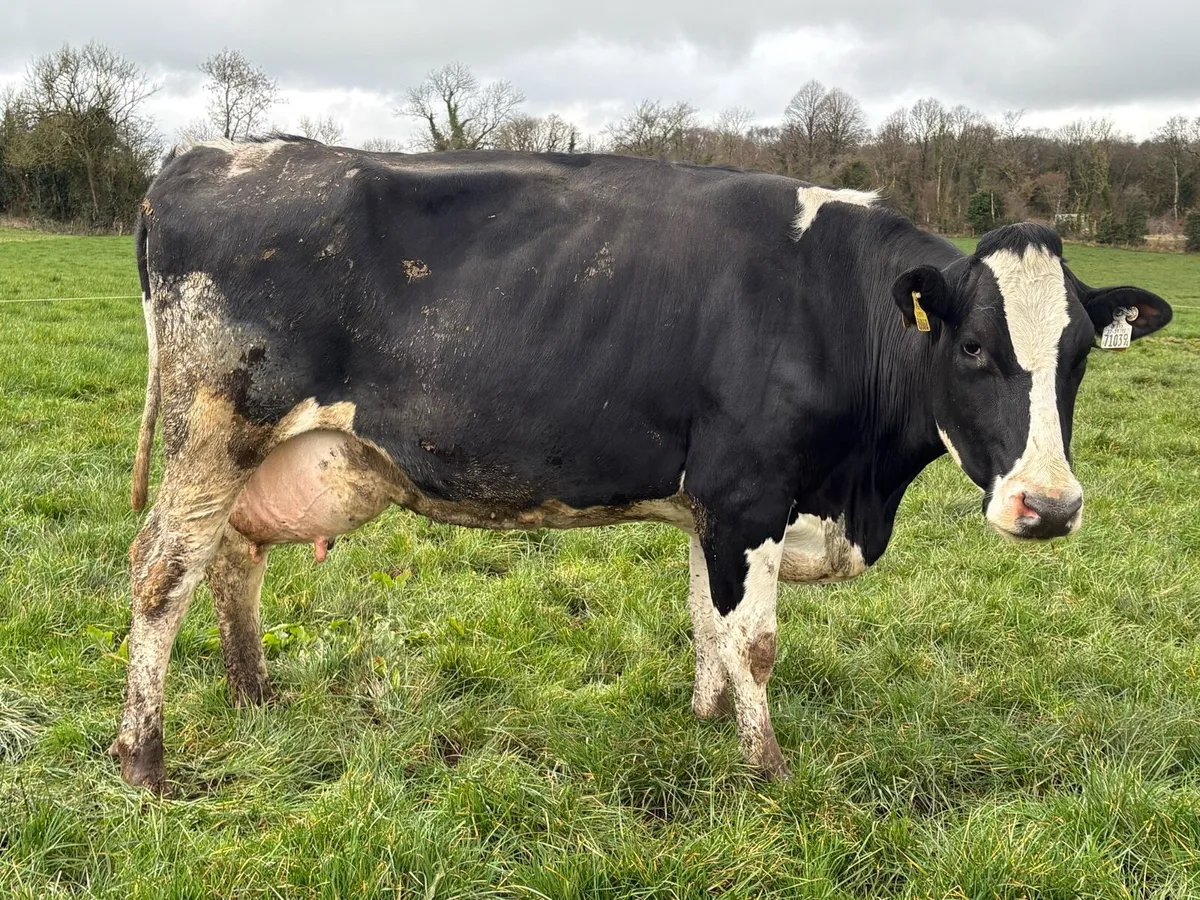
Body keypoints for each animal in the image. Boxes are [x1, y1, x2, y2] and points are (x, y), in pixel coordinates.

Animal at [113, 135, 1172, 791]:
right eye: (975, 349)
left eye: (1079, 353)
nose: (1050, 506)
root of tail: (207, 154)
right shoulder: (748, 494)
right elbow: (756, 641)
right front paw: (766, 767)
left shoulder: (714, 506)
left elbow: (708, 620)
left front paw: (705, 721)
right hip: (214, 427)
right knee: (163, 570)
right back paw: (143, 757)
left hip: (259, 450)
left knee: (232, 559)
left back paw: (255, 695)